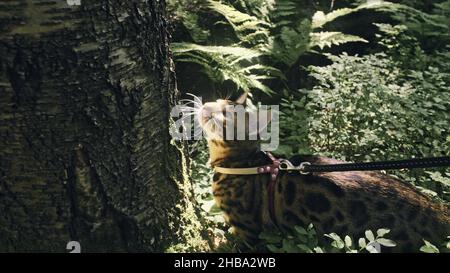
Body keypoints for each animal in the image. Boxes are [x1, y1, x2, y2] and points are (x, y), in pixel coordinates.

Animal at [193, 94, 450, 252]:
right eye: (216, 101)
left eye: (226, 115)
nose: (205, 105)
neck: (241, 162)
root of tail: (439, 211)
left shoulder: (249, 233)